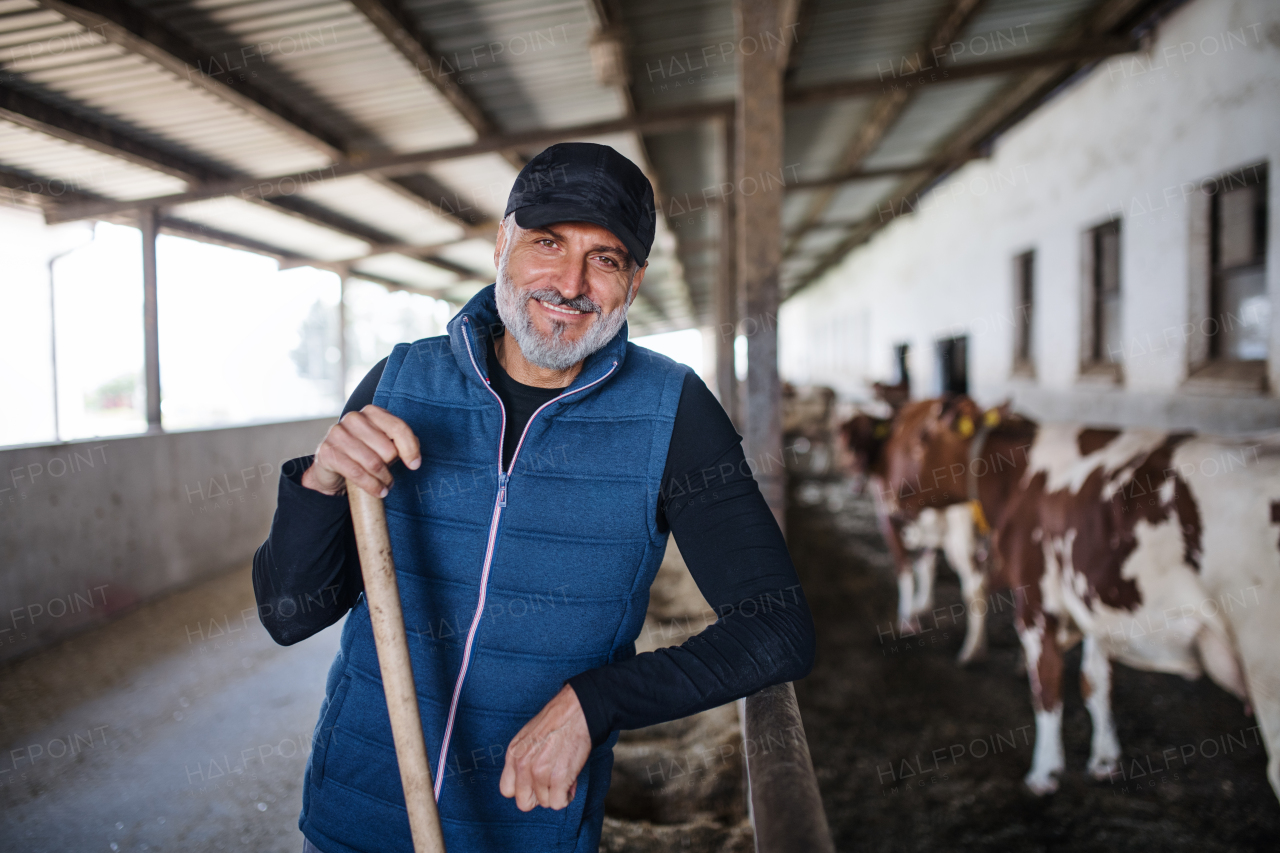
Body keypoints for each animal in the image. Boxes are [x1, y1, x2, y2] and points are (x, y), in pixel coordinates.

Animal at [870, 399, 1269, 799]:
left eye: (920, 438)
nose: (890, 499)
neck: (1018, 477)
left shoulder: (1035, 604)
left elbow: (1046, 687)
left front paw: (1044, 772)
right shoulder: (1093, 605)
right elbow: (1094, 683)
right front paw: (1104, 760)